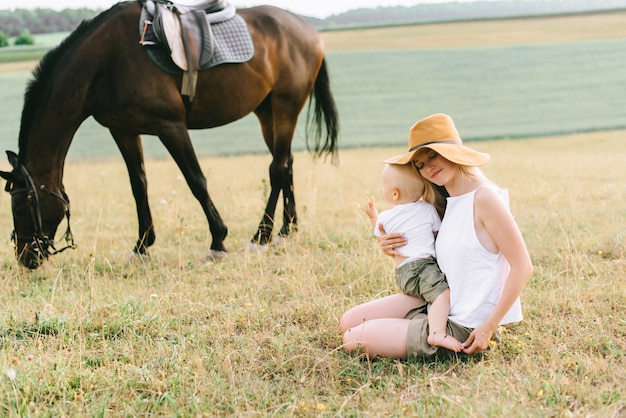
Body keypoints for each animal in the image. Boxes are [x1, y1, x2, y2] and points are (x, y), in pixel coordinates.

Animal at [0, 0, 338, 268]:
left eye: (20, 206)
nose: (25, 257)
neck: (107, 62)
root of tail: (308, 31)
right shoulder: (123, 130)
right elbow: (138, 185)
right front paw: (141, 246)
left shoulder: (171, 126)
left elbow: (196, 181)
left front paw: (218, 241)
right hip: (267, 112)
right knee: (287, 164)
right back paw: (286, 231)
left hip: (285, 108)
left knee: (277, 169)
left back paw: (261, 236)